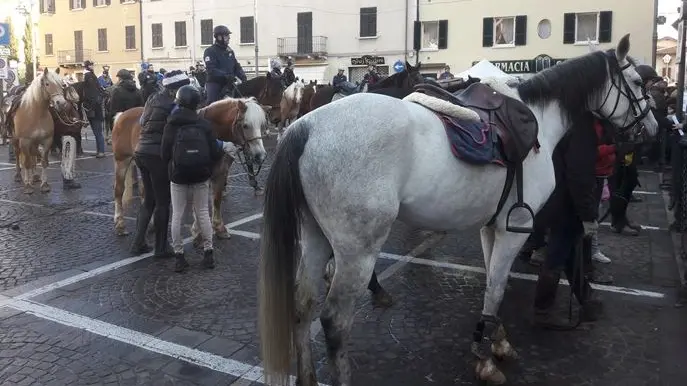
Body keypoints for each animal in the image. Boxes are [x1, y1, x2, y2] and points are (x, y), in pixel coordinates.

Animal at [112, 96, 268, 238]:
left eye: (262, 125)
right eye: (245, 125)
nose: (260, 155)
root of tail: (121, 115)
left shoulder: (220, 174)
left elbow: (216, 200)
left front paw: (219, 228)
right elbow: (198, 203)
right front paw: (198, 231)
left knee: (145, 193)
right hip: (122, 161)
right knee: (119, 191)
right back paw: (120, 224)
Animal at [260, 34, 660, 386]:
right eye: (638, 81)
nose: (652, 128)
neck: (539, 122)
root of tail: (306, 126)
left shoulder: (491, 226)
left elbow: (493, 286)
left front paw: (496, 340)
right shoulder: (514, 229)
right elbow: (497, 287)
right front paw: (485, 359)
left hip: (315, 236)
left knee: (302, 305)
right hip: (356, 251)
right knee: (334, 322)